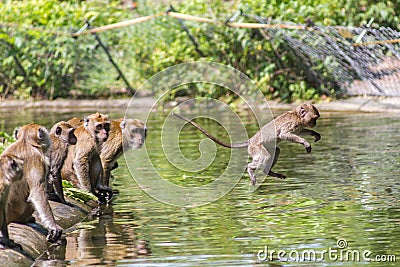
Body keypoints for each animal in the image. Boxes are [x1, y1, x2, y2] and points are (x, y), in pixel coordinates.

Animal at [173, 103, 322, 185]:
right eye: (314, 118)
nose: (315, 123)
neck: (297, 116)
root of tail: (251, 140)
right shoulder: (291, 123)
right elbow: (283, 135)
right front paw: (305, 142)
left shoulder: (298, 125)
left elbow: (301, 131)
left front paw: (314, 134)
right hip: (255, 148)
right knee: (265, 156)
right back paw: (250, 168)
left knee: (276, 151)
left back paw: (268, 172)